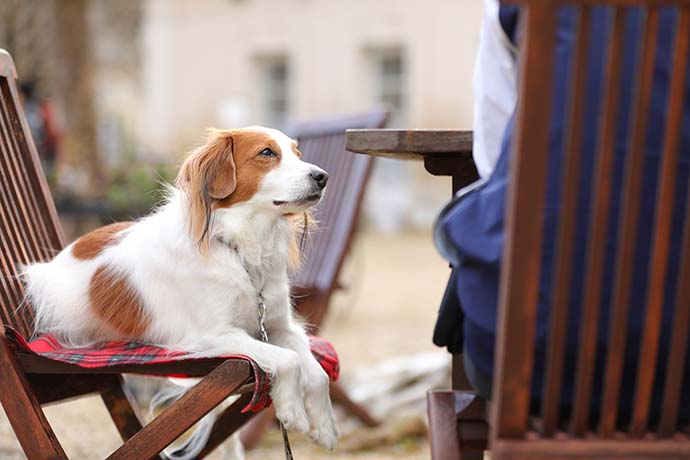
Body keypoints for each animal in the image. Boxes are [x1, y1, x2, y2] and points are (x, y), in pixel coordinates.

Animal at [23, 126, 338, 452]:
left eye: (298, 153)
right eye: (267, 152)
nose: (323, 176)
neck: (239, 247)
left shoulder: (280, 326)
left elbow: (317, 372)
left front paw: (324, 427)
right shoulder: (212, 336)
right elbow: (289, 360)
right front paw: (293, 412)